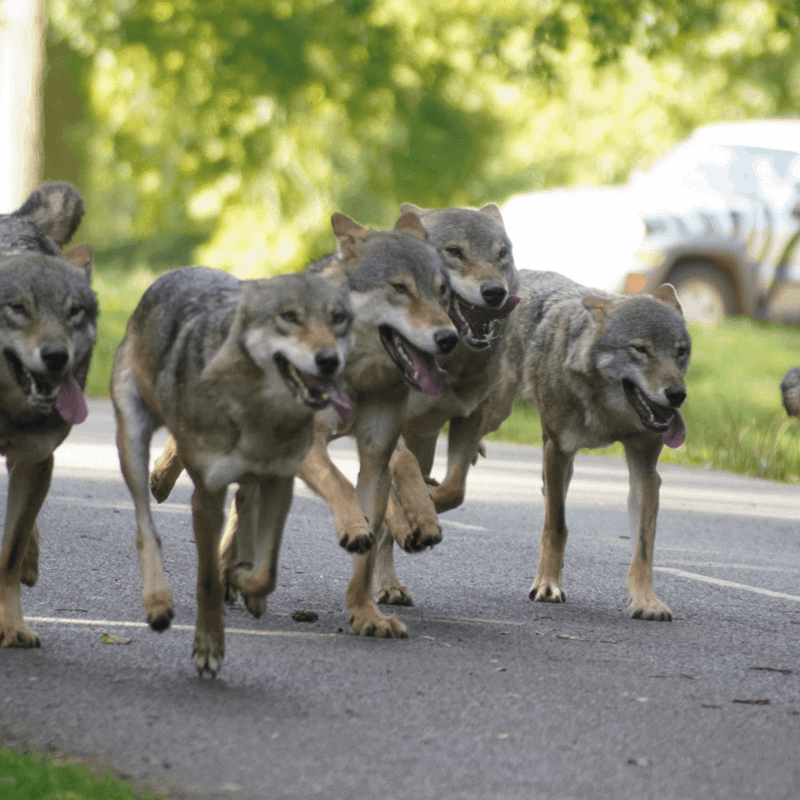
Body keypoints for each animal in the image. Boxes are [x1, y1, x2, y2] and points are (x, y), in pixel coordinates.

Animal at [111, 267, 353, 676]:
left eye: (337, 319)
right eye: (289, 317)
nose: (329, 360)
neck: (259, 412)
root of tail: (174, 272)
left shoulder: (280, 483)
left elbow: (266, 573)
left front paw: (242, 578)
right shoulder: (208, 495)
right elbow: (207, 580)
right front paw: (208, 647)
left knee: (244, 510)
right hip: (132, 439)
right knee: (146, 525)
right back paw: (158, 601)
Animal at [478, 269, 690, 620]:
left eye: (681, 351)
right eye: (640, 349)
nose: (677, 395)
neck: (608, 411)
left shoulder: (646, 471)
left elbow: (643, 547)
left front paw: (646, 601)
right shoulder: (559, 451)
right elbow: (556, 527)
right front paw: (547, 585)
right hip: (494, 415)